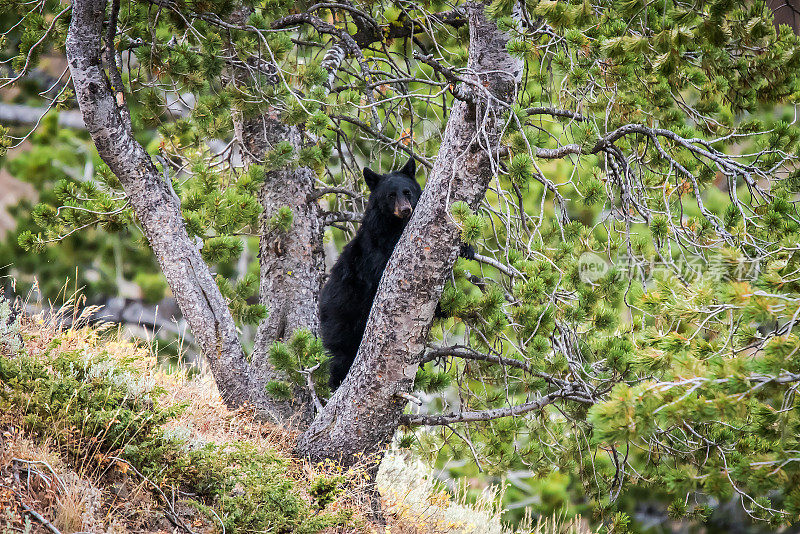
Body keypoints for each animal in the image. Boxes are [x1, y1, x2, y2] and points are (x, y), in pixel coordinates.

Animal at [318, 157, 422, 392]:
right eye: (390, 195)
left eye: (407, 192)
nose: (405, 209)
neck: (395, 226)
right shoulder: (375, 250)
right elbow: (383, 268)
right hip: (342, 322)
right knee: (341, 358)